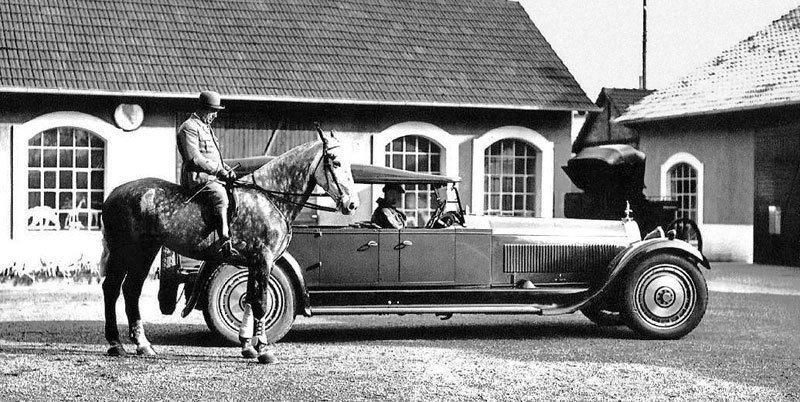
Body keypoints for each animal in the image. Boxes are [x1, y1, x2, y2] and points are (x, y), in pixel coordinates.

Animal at [99, 130, 360, 364]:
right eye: (335, 161)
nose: (352, 204)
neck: (270, 198)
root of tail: (114, 194)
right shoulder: (263, 260)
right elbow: (261, 302)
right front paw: (264, 349)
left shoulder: (253, 263)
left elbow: (249, 299)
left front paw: (247, 346)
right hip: (129, 252)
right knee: (115, 290)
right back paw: (119, 344)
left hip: (143, 252)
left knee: (128, 290)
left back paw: (138, 344)